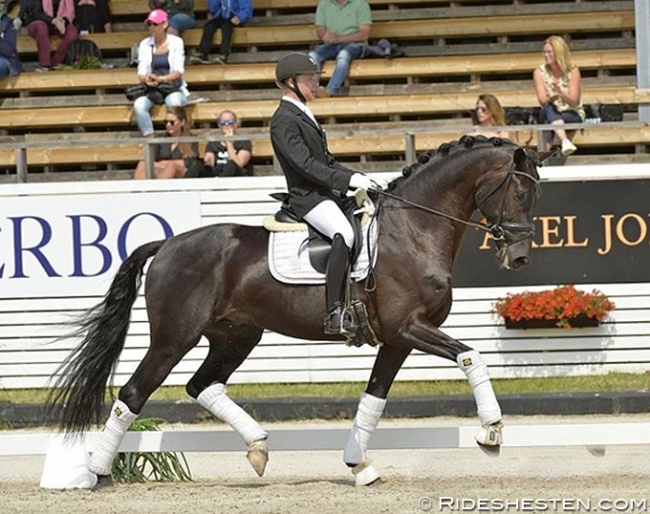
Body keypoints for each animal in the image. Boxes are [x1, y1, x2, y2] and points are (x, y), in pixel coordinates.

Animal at [46, 135, 540, 484]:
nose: (519, 256)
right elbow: (470, 355)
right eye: (519, 192)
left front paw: (359, 465)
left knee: (202, 385)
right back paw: (96, 472)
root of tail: (167, 243)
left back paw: (258, 447)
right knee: (134, 393)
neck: (413, 229)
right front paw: (491, 431)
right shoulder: (410, 327)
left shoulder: (398, 339)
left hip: (236, 335)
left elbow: (374, 398)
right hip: (173, 338)